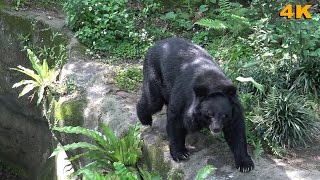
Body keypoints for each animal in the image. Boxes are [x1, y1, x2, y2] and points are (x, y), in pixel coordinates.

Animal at [138, 37, 255, 172]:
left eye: (224, 115)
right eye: (209, 114)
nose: (216, 128)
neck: (213, 84)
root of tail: (156, 44)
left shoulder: (234, 109)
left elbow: (236, 131)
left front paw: (245, 164)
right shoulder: (183, 98)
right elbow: (176, 121)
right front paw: (181, 154)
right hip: (154, 74)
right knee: (152, 101)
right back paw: (145, 120)